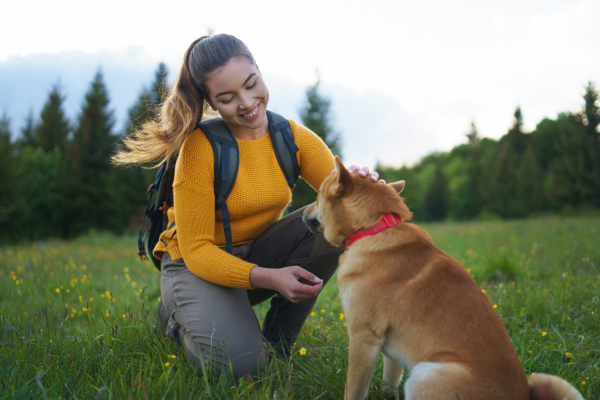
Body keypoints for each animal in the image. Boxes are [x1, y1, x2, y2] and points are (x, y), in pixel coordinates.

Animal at [302, 157, 584, 400]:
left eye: (317, 196)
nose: (302, 211)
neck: (374, 228)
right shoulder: (388, 349)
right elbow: (389, 382)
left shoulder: (363, 337)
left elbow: (354, 390)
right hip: (541, 379)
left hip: (424, 374)